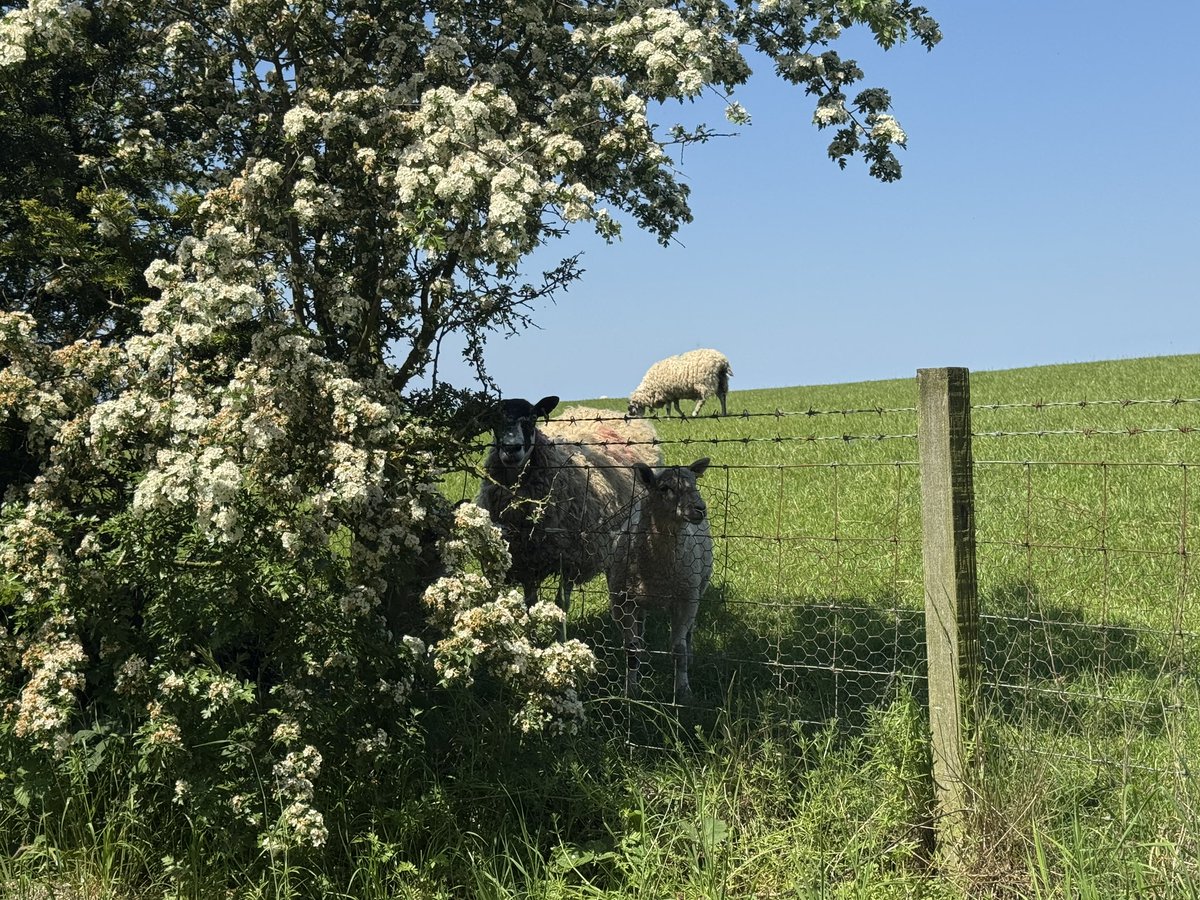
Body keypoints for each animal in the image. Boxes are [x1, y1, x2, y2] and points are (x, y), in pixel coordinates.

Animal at [474, 396, 661, 619]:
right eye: (494, 421)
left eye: (532, 418)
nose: (512, 448)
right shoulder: (524, 558)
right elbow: (530, 602)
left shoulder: (573, 556)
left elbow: (562, 602)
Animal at [608, 457, 713, 700]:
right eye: (664, 488)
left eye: (695, 483)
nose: (700, 509)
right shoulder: (621, 602)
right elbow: (630, 649)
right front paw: (631, 691)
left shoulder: (685, 600)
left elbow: (678, 649)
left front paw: (683, 691)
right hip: (637, 599)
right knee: (640, 628)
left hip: (698, 589)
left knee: (689, 632)